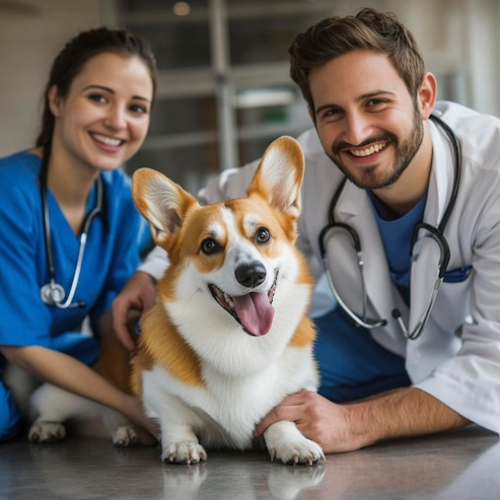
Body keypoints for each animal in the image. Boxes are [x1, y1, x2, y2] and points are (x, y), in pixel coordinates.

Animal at [131, 136, 322, 464]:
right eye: (209, 245)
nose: (252, 274)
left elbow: (280, 416)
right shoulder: (154, 386)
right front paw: (181, 444)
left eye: (262, 235)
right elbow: (174, 416)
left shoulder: (299, 385)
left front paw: (292, 442)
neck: (241, 346)